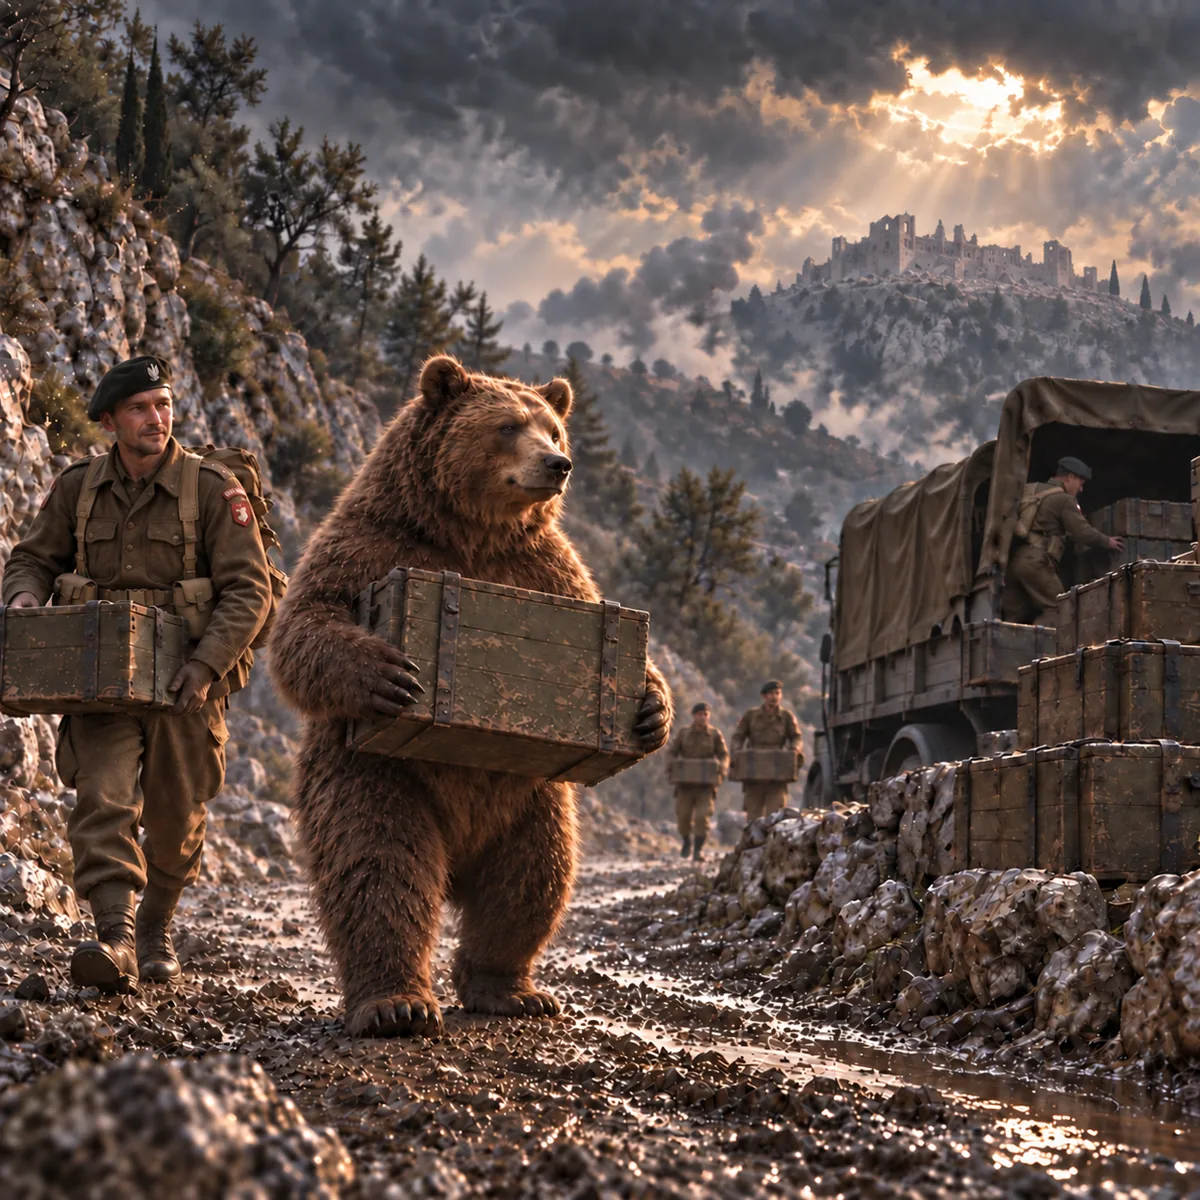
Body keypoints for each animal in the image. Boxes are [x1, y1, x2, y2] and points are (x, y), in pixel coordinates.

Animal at [268, 355, 673, 1037]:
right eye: (508, 426)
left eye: (553, 429)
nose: (558, 464)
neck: (473, 534)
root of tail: (457, 860)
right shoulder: (368, 543)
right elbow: (304, 625)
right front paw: (389, 673)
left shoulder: (547, 568)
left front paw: (650, 708)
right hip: (376, 775)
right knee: (380, 866)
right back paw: (396, 1003)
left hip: (529, 799)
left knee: (533, 878)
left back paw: (511, 989)